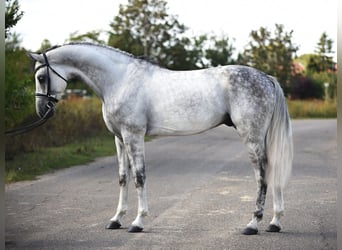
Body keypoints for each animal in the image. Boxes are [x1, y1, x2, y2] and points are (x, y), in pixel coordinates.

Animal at [29, 42, 292, 235]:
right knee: (272, 170)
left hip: (252, 138)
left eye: (41, 77)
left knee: (262, 176)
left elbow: (139, 177)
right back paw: (275, 222)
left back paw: (253, 224)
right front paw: (116, 219)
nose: (42, 110)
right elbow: (123, 178)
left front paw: (138, 222)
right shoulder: (119, 139)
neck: (119, 80)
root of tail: (267, 78)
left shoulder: (133, 135)